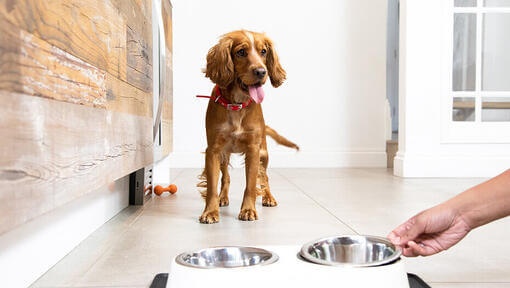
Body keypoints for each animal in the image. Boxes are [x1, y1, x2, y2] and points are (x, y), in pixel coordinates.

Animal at [196, 30, 298, 224]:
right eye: (241, 52)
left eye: (264, 51)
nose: (261, 71)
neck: (237, 104)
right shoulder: (213, 150)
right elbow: (212, 185)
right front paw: (210, 211)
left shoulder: (253, 150)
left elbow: (251, 184)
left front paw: (248, 210)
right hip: (224, 155)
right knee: (226, 178)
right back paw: (223, 198)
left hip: (264, 154)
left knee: (264, 178)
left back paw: (268, 197)